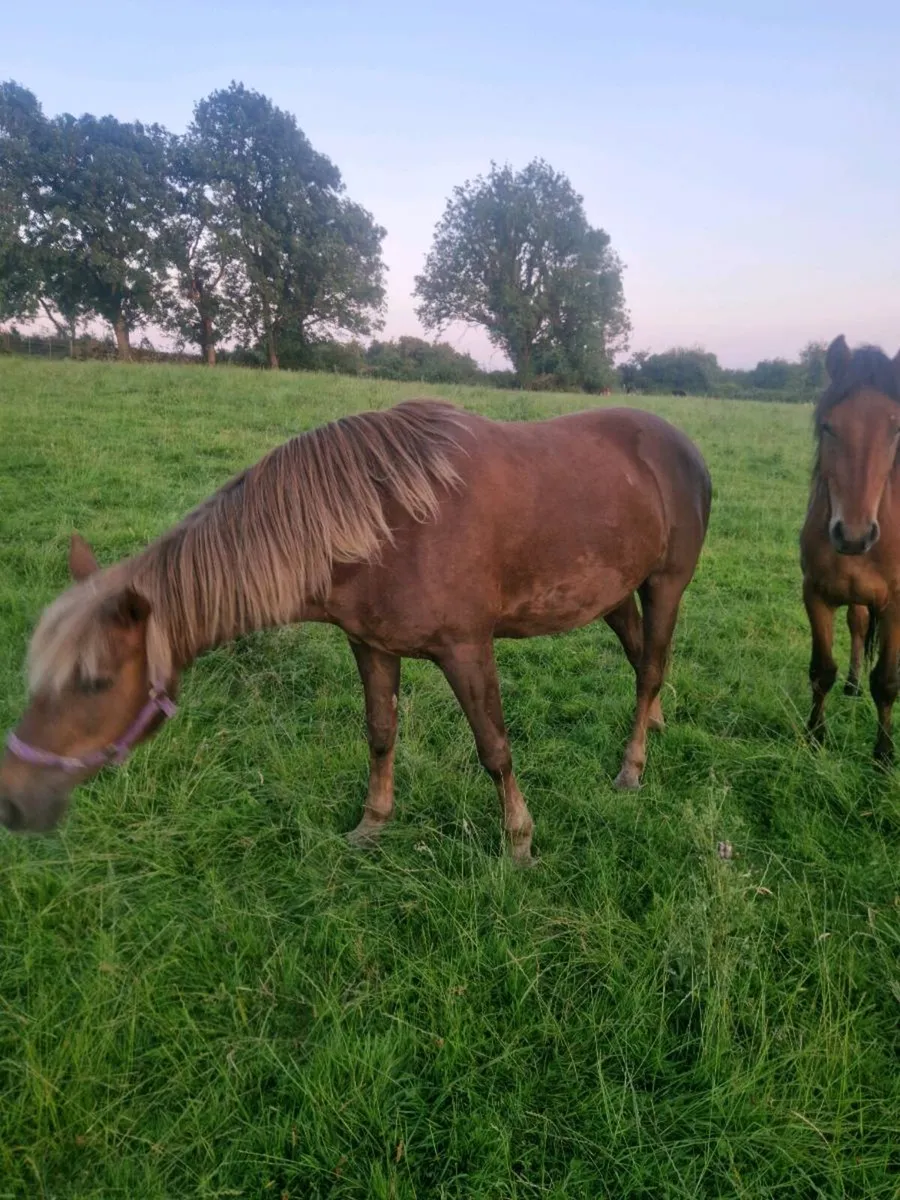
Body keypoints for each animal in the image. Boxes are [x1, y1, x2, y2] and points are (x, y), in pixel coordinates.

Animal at [1, 399, 712, 863]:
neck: (384, 524)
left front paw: (519, 844)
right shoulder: (370, 645)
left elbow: (495, 748)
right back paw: (652, 726)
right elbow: (380, 734)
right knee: (642, 663)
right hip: (613, 595)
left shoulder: (466, 649)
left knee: (651, 665)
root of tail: (680, 443)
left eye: (94, 682)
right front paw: (372, 826)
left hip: (666, 586)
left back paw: (631, 768)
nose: (12, 802)